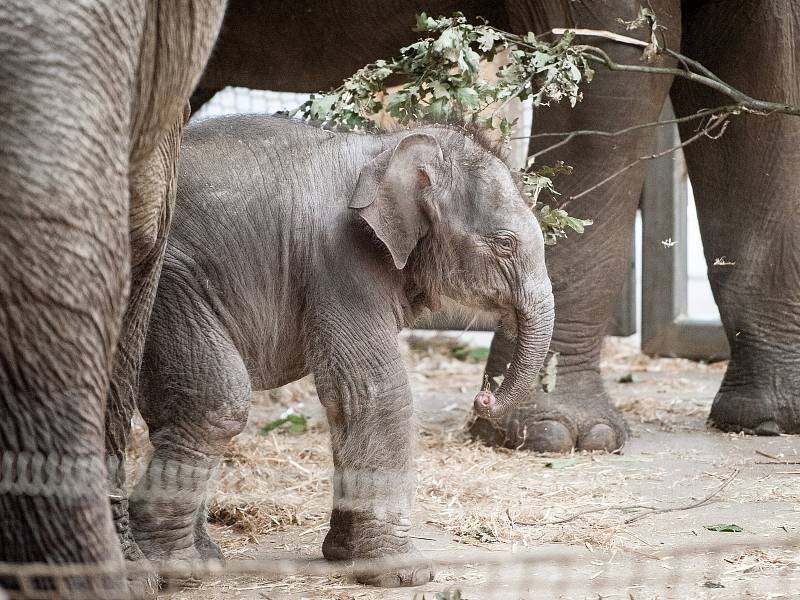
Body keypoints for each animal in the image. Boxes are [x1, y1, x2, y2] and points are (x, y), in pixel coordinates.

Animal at [133, 115, 556, 588]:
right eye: (505, 244)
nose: (483, 397)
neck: (385, 146)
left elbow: (344, 401)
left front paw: (343, 557)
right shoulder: (341, 257)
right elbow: (377, 393)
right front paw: (405, 575)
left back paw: (203, 559)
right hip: (168, 285)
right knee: (213, 404)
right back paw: (181, 569)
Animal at [191, 0, 796, 450]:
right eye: (503, 244)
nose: (481, 399)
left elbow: (763, 69)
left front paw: (769, 422)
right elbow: (607, 69)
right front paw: (556, 437)